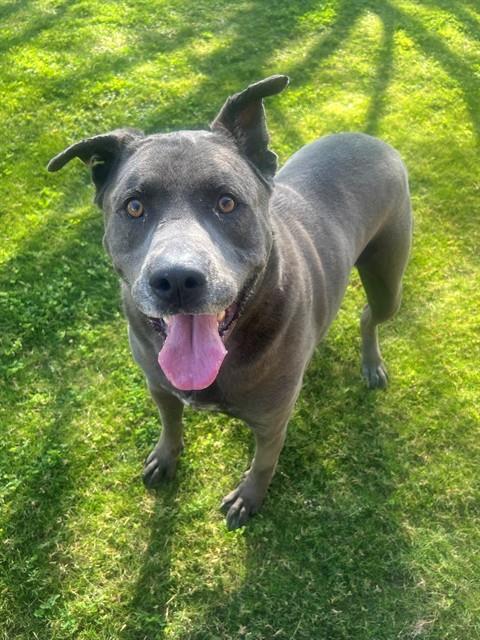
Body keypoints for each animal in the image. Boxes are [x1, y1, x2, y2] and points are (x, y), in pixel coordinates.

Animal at [48, 75, 412, 530]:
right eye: (133, 207)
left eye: (226, 202)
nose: (176, 279)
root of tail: (369, 138)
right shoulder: (159, 386)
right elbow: (170, 423)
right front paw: (166, 456)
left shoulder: (272, 421)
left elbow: (264, 462)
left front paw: (249, 496)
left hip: (388, 282)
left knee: (368, 315)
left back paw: (371, 364)